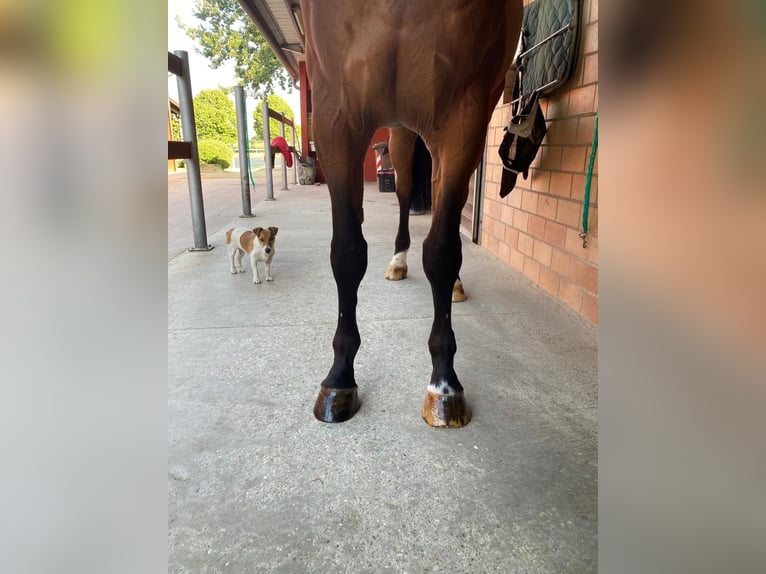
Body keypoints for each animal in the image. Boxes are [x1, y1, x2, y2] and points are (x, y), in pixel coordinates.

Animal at [304, 0, 524, 430]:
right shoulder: (334, 114)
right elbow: (347, 252)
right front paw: (339, 378)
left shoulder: (464, 116)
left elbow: (442, 252)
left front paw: (444, 385)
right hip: (401, 130)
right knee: (406, 192)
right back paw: (398, 261)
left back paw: (453, 285)